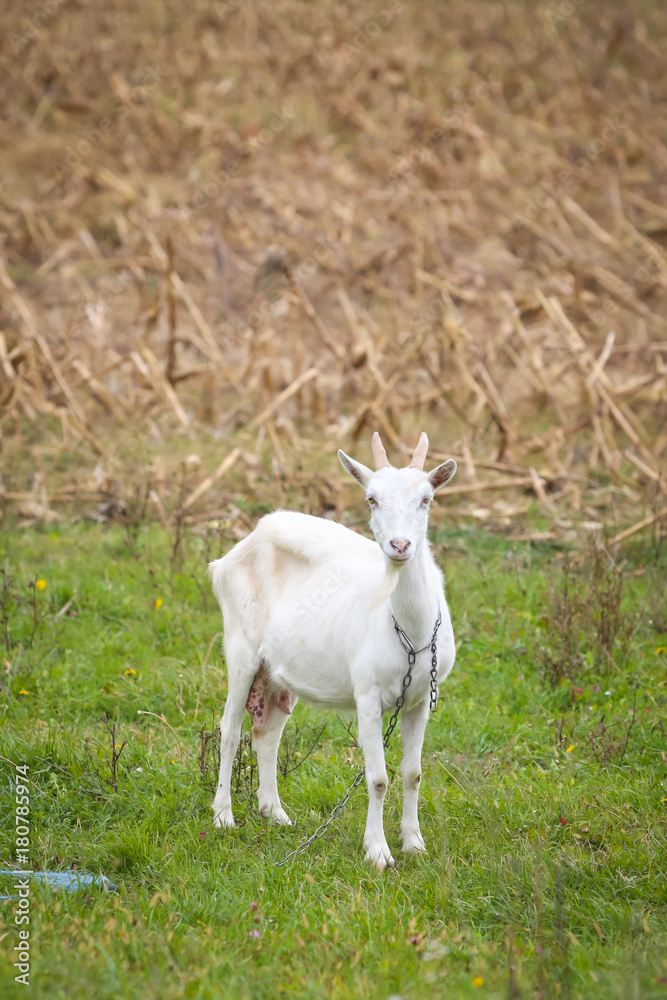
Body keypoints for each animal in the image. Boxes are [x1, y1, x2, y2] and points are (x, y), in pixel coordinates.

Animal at [208, 432, 457, 869]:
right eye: (371, 498)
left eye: (426, 498)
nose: (400, 545)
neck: (410, 633)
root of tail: (234, 553)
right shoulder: (367, 693)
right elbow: (378, 778)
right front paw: (377, 852)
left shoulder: (418, 700)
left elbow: (413, 773)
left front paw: (414, 843)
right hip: (240, 647)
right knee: (230, 730)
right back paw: (223, 815)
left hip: (275, 672)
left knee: (267, 734)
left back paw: (275, 813)